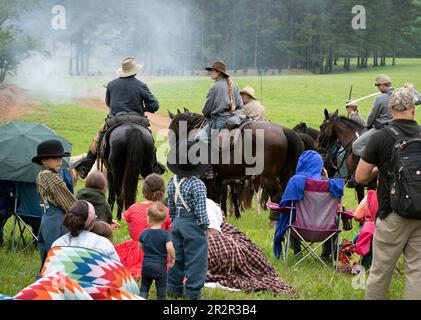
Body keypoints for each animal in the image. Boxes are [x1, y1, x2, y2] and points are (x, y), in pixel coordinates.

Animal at [167, 109, 302, 219]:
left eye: (171, 131)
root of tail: (283, 130)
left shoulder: (211, 179)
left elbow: (214, 197)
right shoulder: (225, 177)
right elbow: (228, 196)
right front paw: (233, 215)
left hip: (267, 177)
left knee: (276, 197)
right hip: (284, 175)